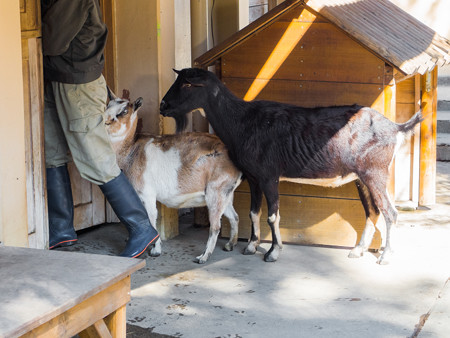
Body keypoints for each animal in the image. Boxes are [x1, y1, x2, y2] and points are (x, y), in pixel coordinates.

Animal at [105, 90, 243, 264]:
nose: (104, 121)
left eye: (124, 111)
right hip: (226, 194)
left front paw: (155, 251)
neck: (132, 150)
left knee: (215, 226)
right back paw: (230, 245)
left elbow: (152, 220)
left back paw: (203, 257)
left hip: (215, 193)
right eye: (107, 105)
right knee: (234, 217)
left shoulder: (147, 195)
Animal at [160, 68, 424, 264]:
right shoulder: (254, 177)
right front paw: (251, 246)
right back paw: (358, 250)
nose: (163, 105)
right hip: (360, 178)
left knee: (390, 212)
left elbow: (272, 216)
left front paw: (273, 252)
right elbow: (254, 212)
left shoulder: (269, 176)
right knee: (372, 211)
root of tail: (395, 127)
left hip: (375, 173)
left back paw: (385, 256)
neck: (242, 121)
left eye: (187, 85)